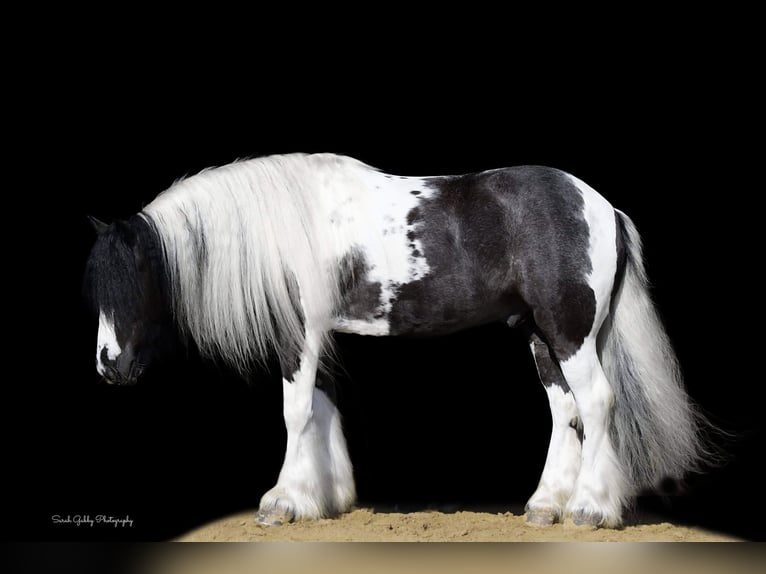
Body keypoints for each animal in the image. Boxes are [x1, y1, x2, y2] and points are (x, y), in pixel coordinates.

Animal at [85, 153, 708, 532]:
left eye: (132, 278)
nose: (108, 365)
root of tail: (602, 205)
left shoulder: (297, 335)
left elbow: (294, 413)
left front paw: (282, 502)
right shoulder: (318, 337)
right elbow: (321, 409)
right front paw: (324, 498)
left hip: (568, 331)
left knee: (597, 403)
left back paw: (588, 507)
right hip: (539, 338)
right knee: (565, 411)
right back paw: (545, 506)